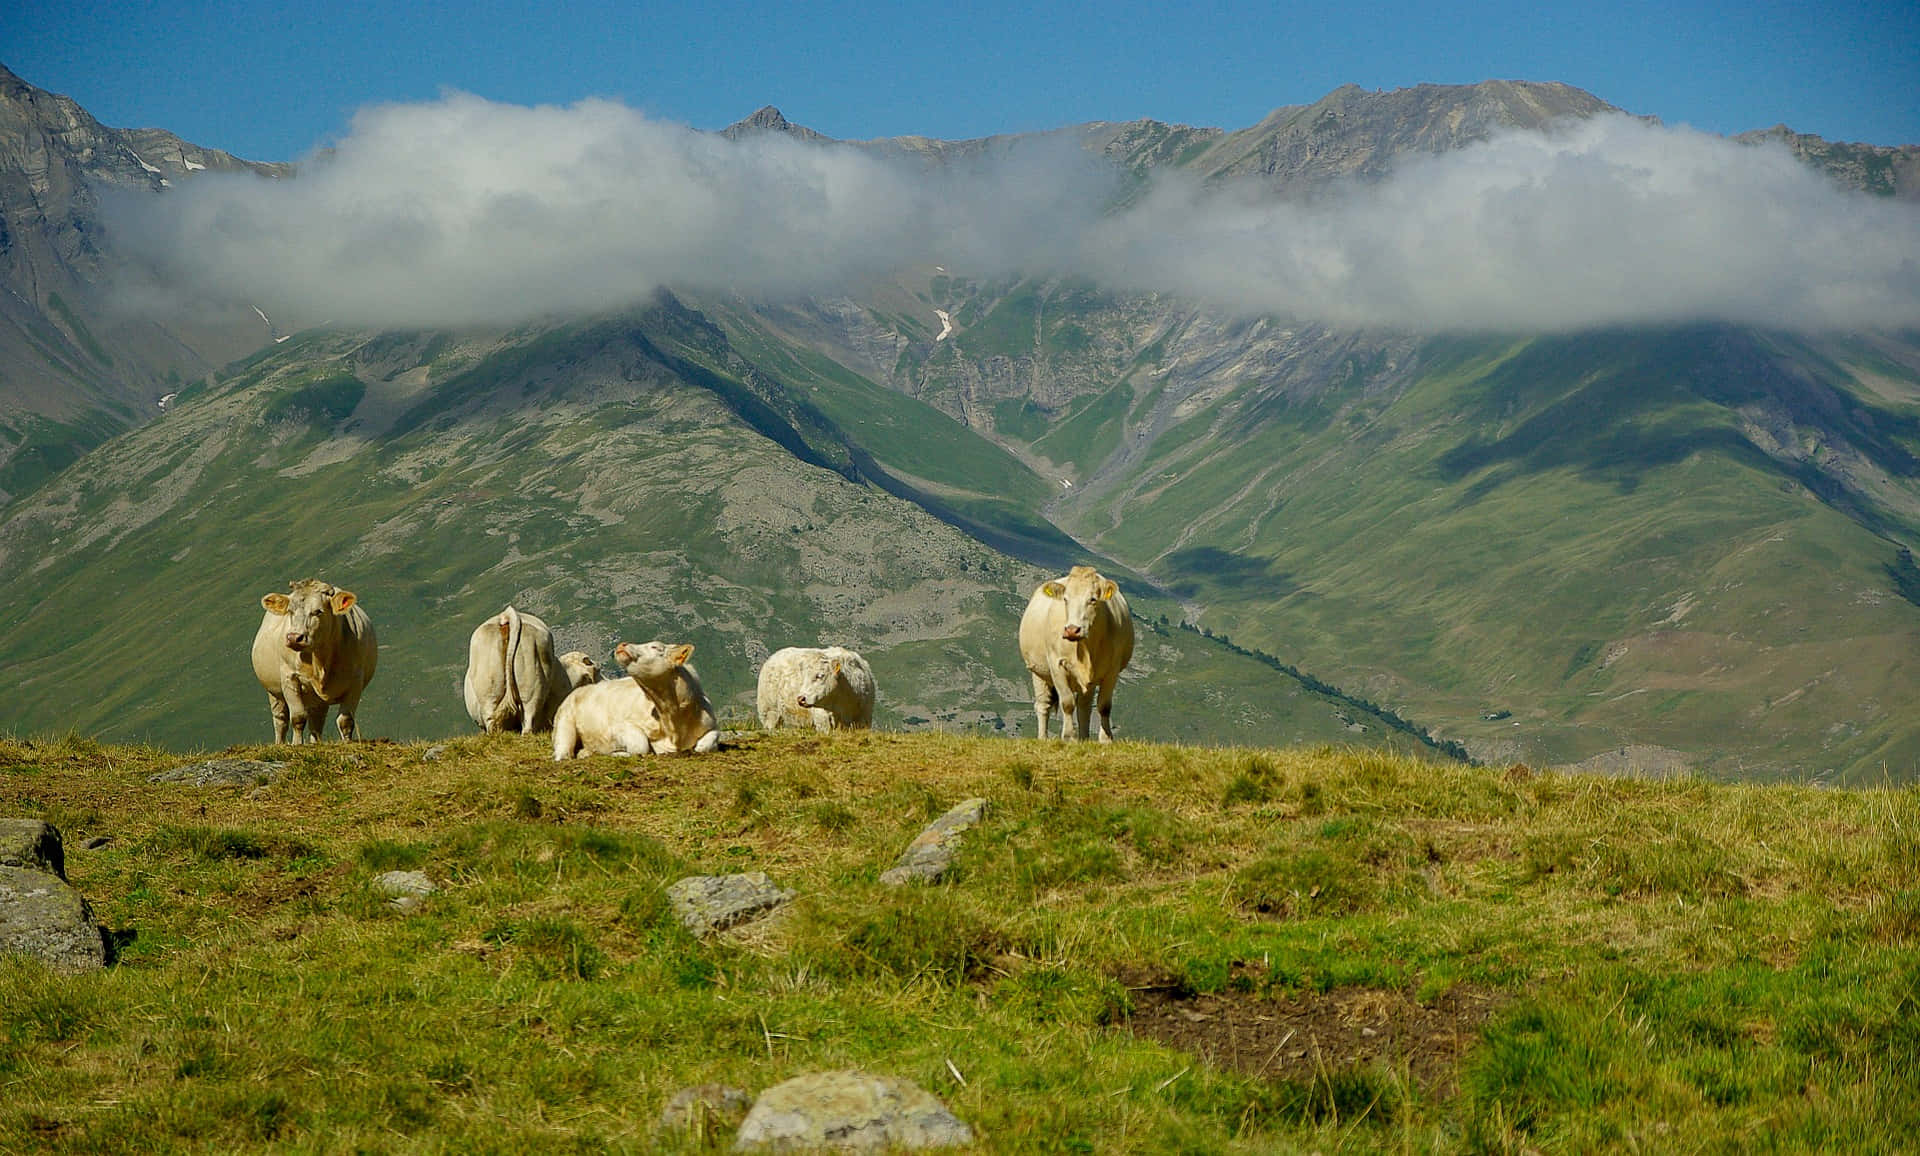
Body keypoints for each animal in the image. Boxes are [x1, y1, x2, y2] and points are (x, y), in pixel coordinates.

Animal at [251, 579, 378, 743]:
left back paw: (315, 742)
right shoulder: (289, 677)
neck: (320, 661)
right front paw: (297, 744)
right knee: (281, 720)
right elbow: (298, 717)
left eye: (318, 611)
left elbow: (346, 720)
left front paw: (347, 743)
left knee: (316, 723)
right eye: (290, 611)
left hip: (317, 701)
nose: (294, 637)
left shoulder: (356, 680)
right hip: (273, 691)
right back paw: (280, 743)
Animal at [1018, 565, 1135, 741]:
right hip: (1038, 671)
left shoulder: (1112, 670)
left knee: (1084, 707)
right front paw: (1068, 737)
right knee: (1043, 705)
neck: (1085, 647)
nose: (1072, 630)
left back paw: (1084, 738)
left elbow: (1104, 706)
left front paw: (1106, 739)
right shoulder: (1057, 664)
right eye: (1066, 599)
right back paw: (1043, 738)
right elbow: (1067, 703)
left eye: (1092, 599)